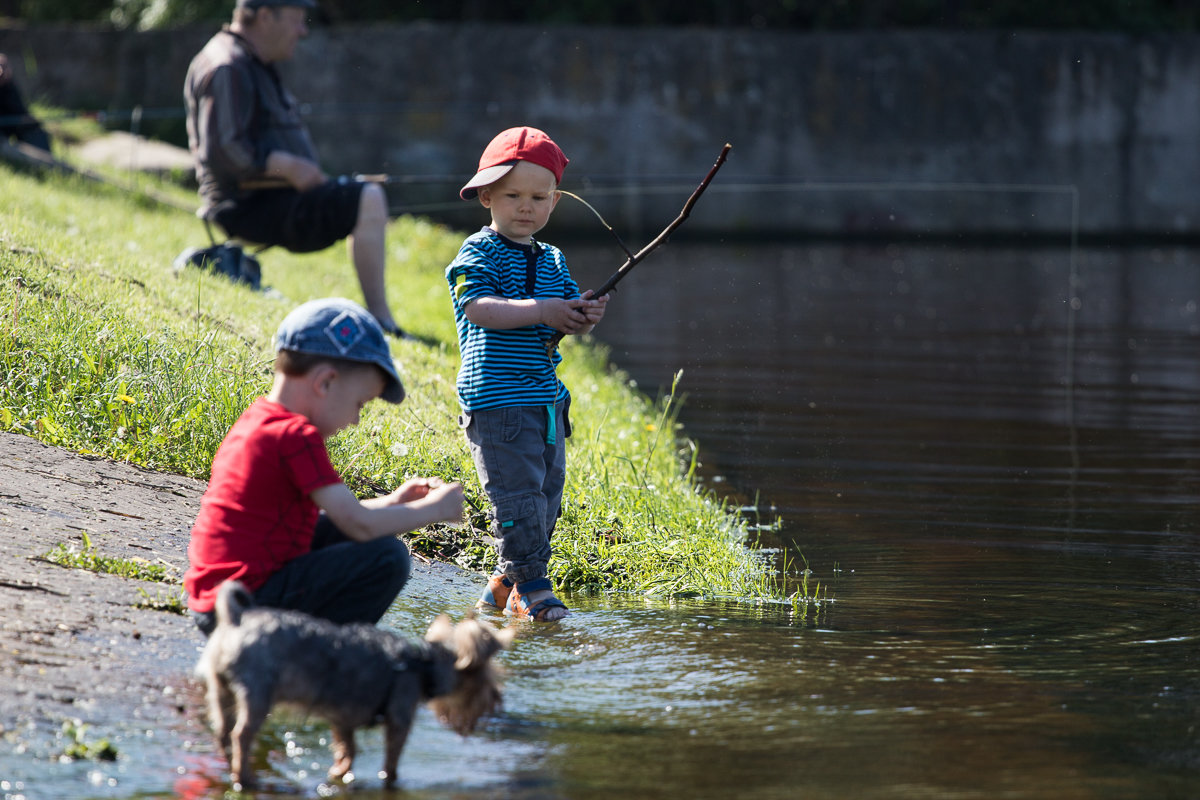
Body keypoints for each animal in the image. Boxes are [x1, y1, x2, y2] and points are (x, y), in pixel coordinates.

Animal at [194, 582, 513, 786]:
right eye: (486, 684)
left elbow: (348, 749)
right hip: (259, 693)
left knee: (223, 730)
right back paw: (246, 779)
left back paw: (230, 765)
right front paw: (390, 782)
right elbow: (391, 761)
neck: (422, 665)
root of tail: (236, 620)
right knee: (241, 734)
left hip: (221, 689)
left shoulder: (342, 720)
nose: (497, 700)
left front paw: (340, 773)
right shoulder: (399, 716)